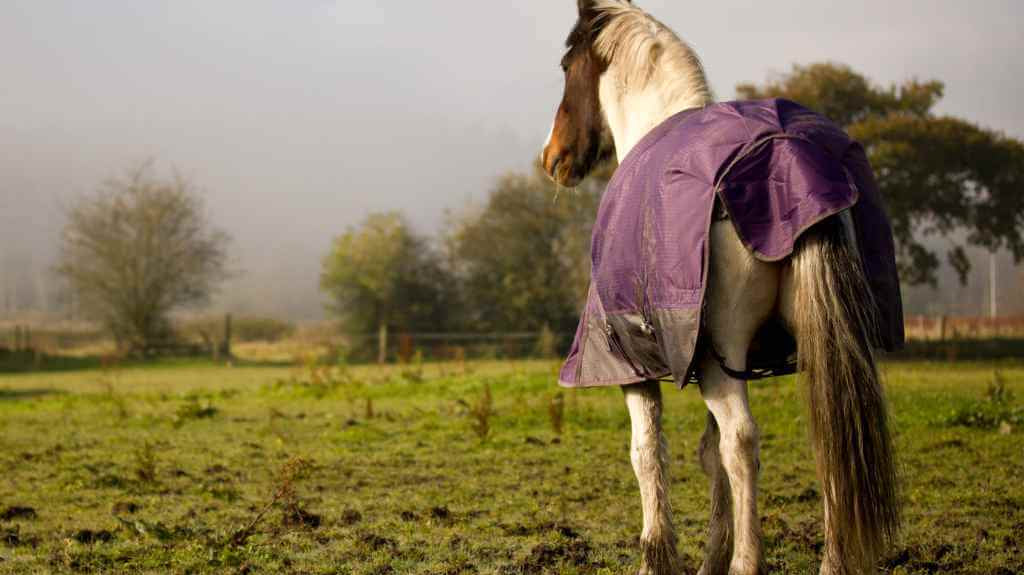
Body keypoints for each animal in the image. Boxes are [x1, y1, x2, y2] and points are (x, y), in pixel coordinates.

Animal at [540, 2, 901, 574]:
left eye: (566, 65)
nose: (553, 157)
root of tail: (788, 159)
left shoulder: (634, 364)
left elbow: (649, 453)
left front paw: (658, 556)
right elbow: (708, 458)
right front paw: (712, 554)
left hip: (720, 354)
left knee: (741, 442)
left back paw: (747, 561)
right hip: (812, 346)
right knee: (831, 433)